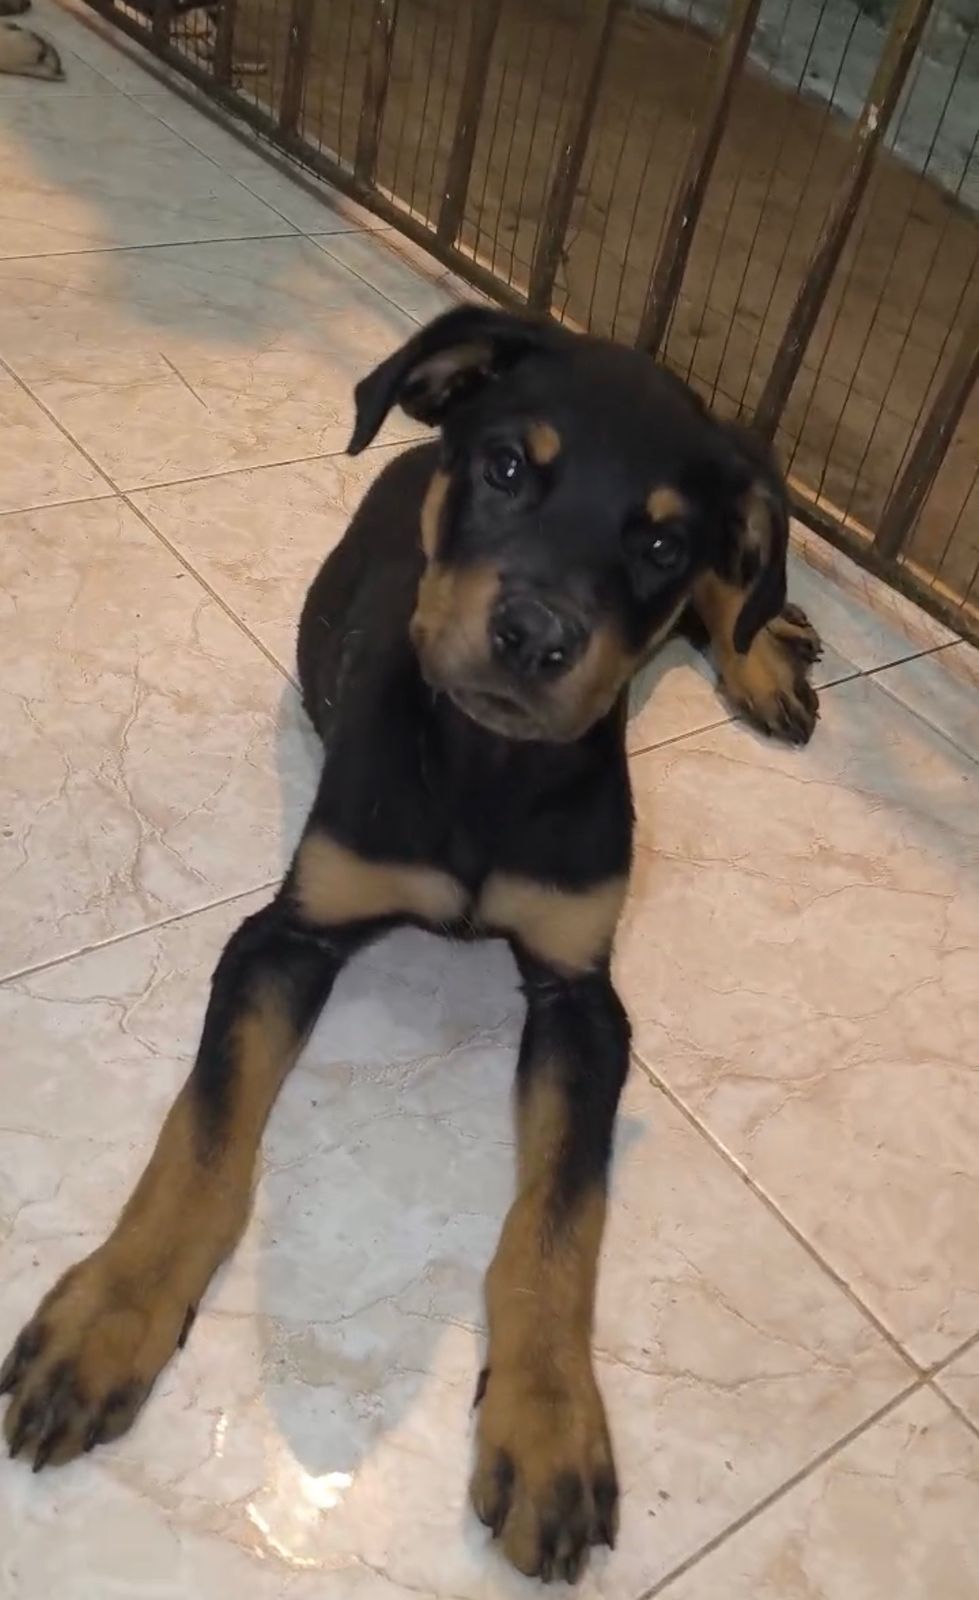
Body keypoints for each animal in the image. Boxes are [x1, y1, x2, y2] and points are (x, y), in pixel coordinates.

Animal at [1, 306, 821, 1583]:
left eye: (657, 542)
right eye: (506, 469)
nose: (536, 636)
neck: (485, 766)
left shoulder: (583, 998)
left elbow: (559, 1220)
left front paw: (547, 1427)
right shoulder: (288, 933)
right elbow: (201, 1138)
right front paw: (107, 1320)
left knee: (729, 597)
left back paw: (768, 651)